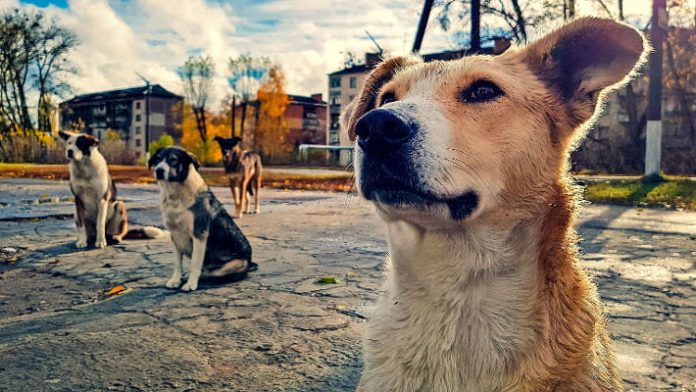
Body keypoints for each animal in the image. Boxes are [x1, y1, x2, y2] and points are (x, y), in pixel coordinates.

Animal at [148, 147, 256, 290]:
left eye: (173, 159)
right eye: (158, 159)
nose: (159, 170)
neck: (176, 195)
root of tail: (250, 261)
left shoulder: (199, 234)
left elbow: (195, 263)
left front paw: (191, 284)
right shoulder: (175, 236)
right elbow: (177, 263)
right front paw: (175, 280)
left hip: (233, 265)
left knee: (213, 274)